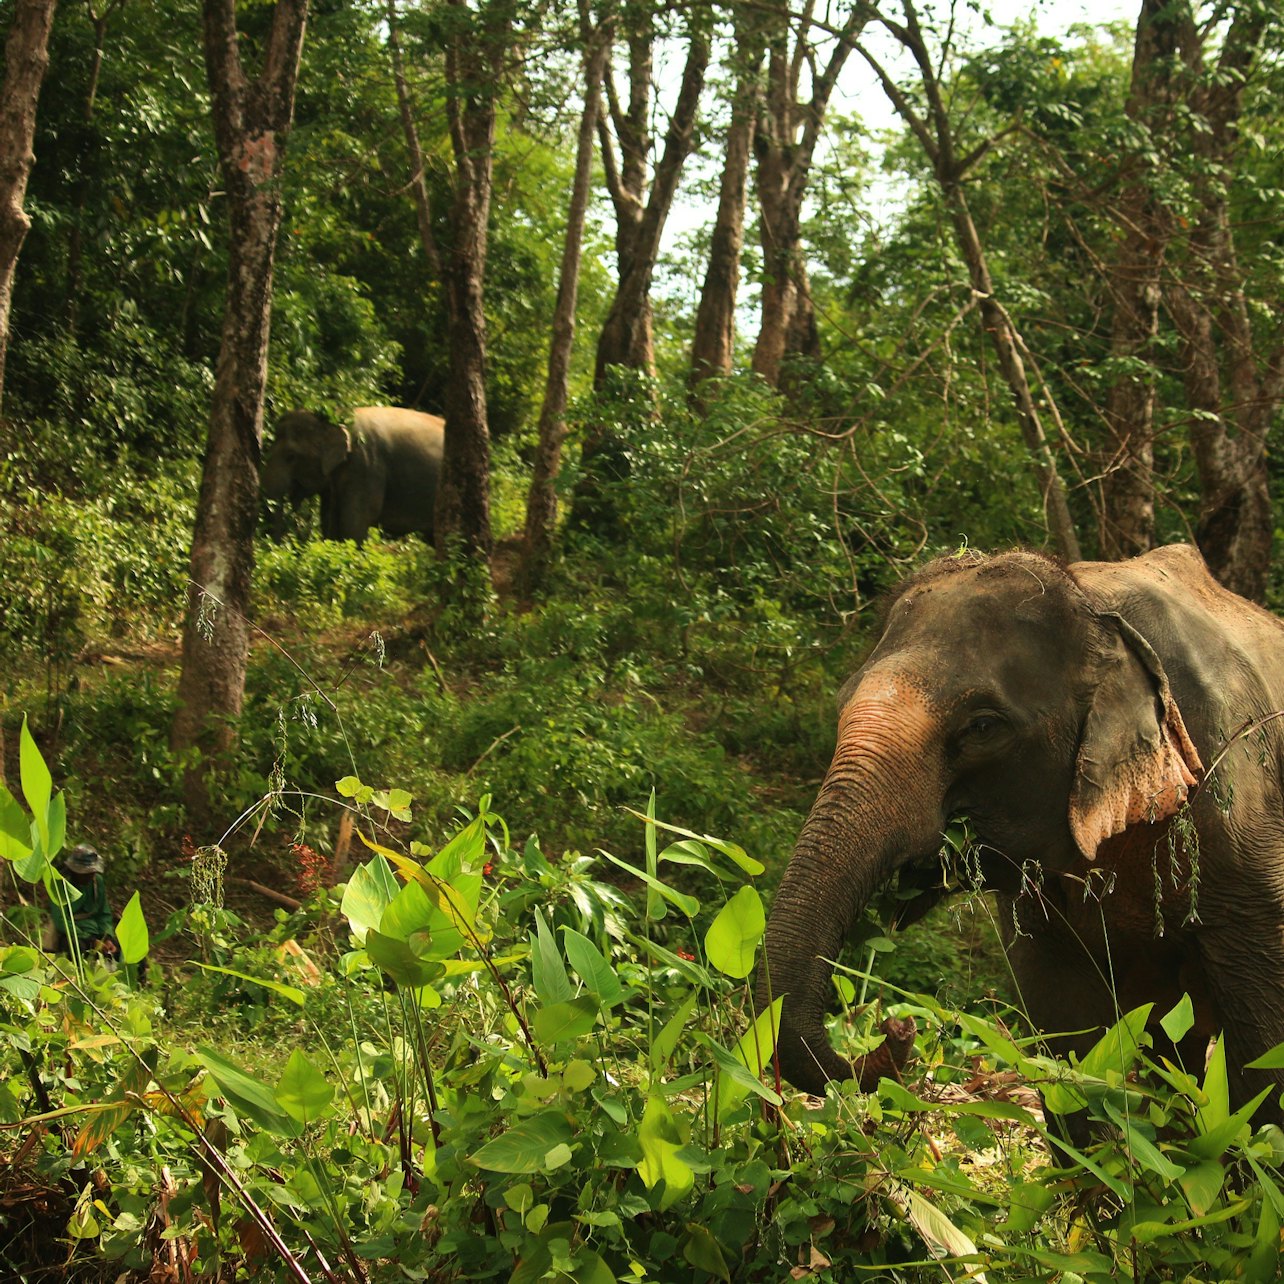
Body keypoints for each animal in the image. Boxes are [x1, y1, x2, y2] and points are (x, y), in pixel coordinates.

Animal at [760, 543, 1284, 1122]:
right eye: (841, 703)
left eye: (983, 726)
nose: (899, 1027)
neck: (1094, 604)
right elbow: (1069, 1031)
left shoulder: (1244, 826)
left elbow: (1264, 1047)